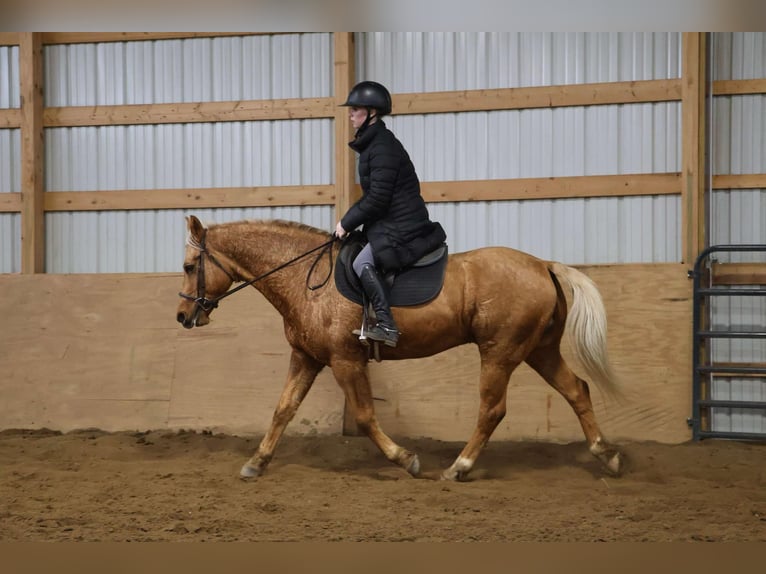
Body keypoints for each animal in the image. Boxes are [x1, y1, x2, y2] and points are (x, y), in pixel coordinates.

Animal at [176, 215, 625, 481]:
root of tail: (543, 265)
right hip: (538, 350)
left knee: (493, 409)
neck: (306, 279)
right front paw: (256, 462)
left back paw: (459, 467)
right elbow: (283, 409)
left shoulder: (344, 360)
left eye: (187, 266)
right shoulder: (307, 357)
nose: (182, 316)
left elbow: (363, 416)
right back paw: (607, 456)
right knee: (577, 390)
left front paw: (406, 459)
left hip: (500, 352)